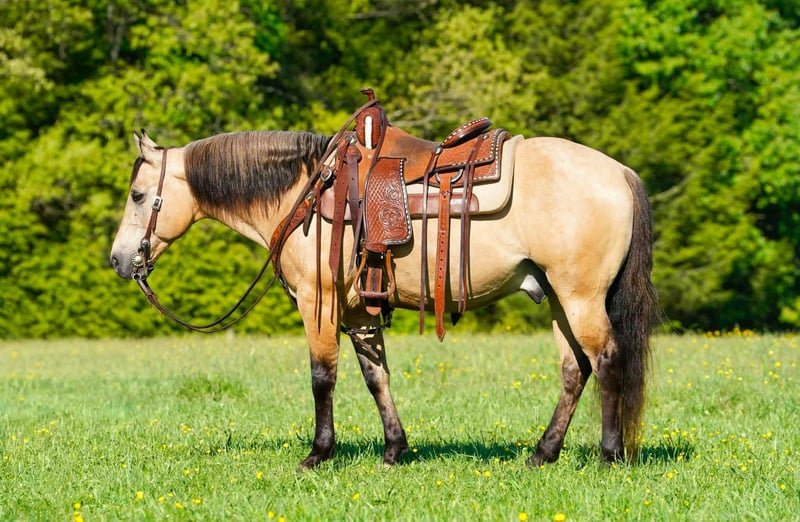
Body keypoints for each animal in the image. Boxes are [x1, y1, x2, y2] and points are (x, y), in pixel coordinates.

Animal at [110, 125, 658, 469]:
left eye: (137, 195)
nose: (118, 260)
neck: (304, 194)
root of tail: (619, 172)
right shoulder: (357, 311)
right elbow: (377, 377)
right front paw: (394, 449)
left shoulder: (318, 302)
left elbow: (322, 377)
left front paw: (318, 453)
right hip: (560, 300)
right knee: (574, 371)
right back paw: (542, 454)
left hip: (581, 298)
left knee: (607, 361)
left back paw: (609, 455)